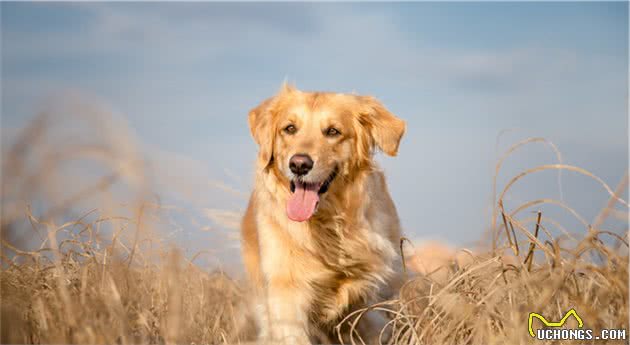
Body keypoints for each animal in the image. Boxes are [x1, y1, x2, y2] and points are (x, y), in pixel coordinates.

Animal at [239, 83, 408, 344]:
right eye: (289, 128)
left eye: (333, 131)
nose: (299, 164)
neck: (328, 225)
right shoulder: (286, 292)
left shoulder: (374, 296)